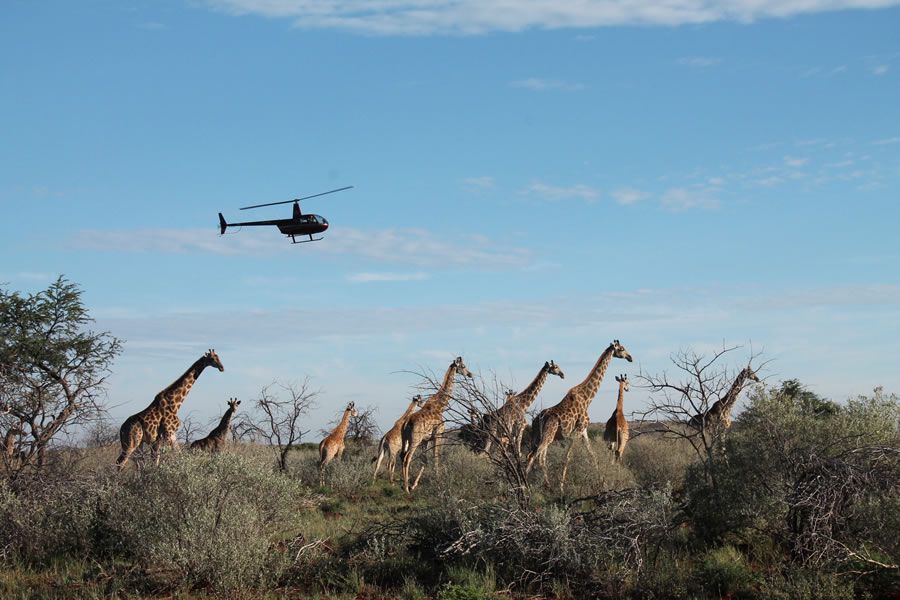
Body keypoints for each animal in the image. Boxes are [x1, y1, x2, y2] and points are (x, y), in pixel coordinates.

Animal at [400, 356, 472, 492]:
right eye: (463, 366)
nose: (470, 374)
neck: (440, 406)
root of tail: (407, 423)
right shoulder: (438, 434)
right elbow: (436, 458)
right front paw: (438, 482)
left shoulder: (425, 440)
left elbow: (425, 460)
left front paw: (415, 484)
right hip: (415, 439)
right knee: (407, 458)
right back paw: (406, 487)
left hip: (405, 439)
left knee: (402, 456)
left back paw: (405, 484)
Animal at [528, 338, 632, 488]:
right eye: (622, 348)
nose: (630, 357)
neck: (587, 397)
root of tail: (539, 418)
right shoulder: (577, 431)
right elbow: (567, 457)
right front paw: (561, 487)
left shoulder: (584, 431)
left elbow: (592, 454)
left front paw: (602, 482)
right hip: (548, 435)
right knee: (536, 456)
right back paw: (527, 485)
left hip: (541, 437)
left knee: (536, 456)